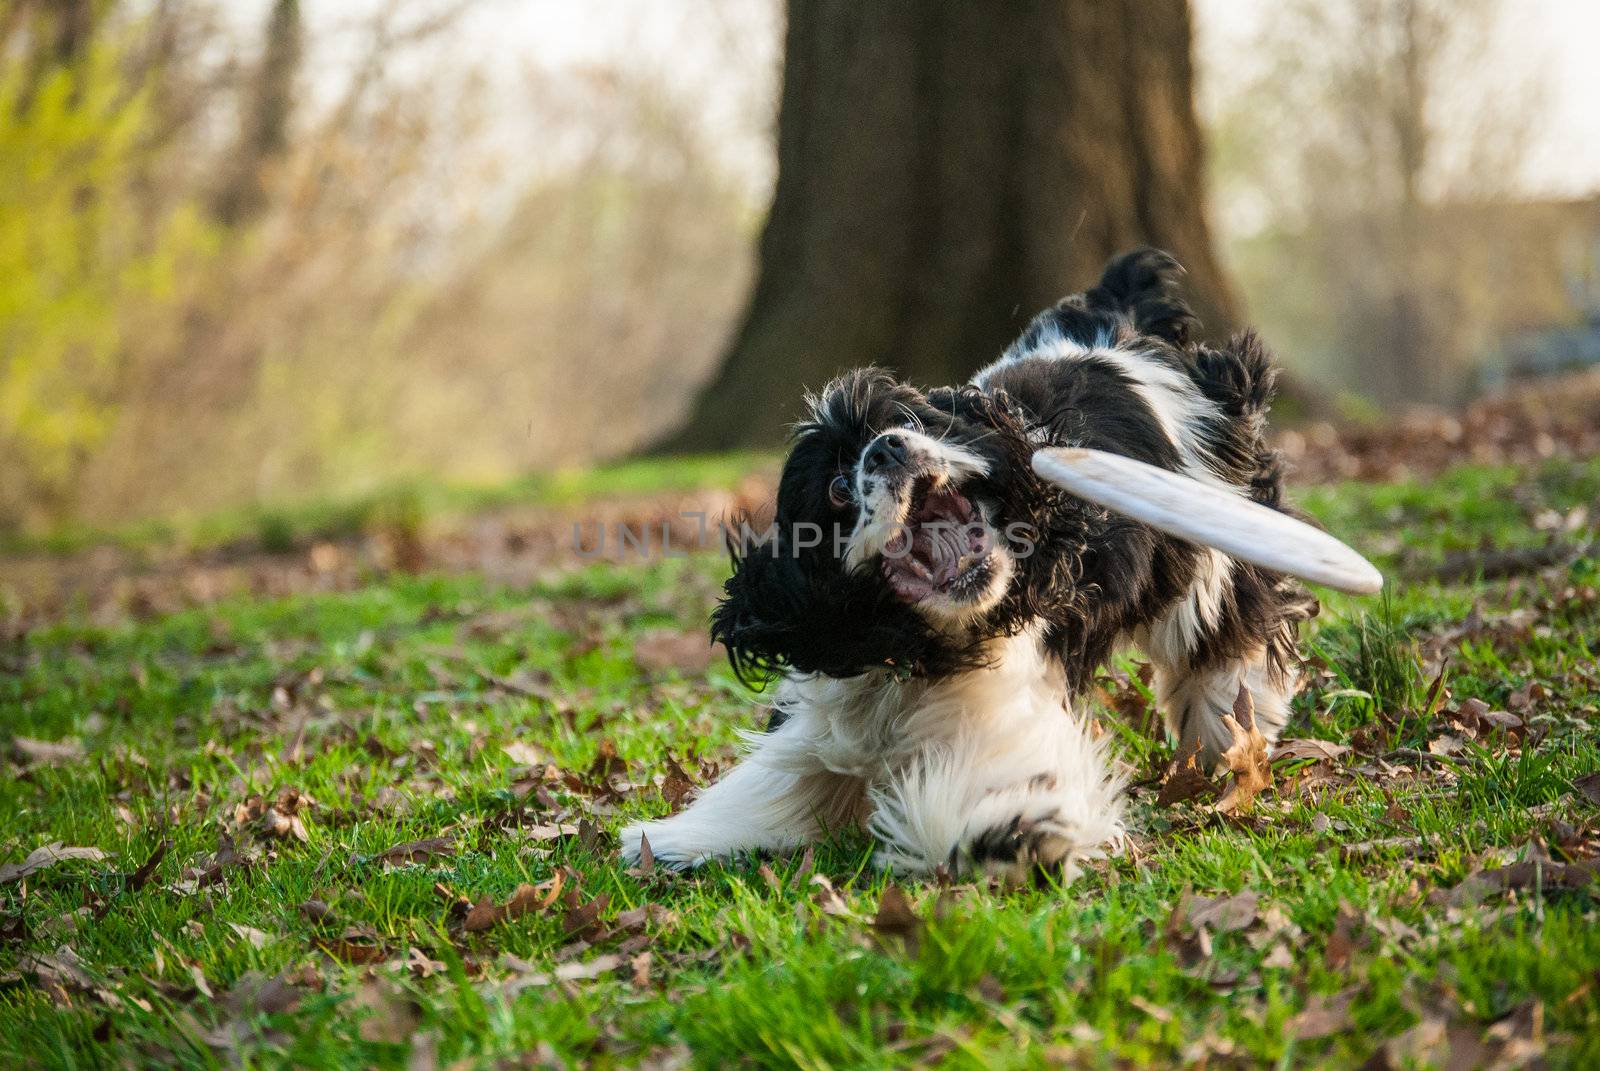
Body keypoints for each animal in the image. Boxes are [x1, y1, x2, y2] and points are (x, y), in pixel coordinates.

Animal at [624, 252, 1324, 883]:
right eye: (837, 489)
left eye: (907, 421)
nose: (888, 448)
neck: (913, 647)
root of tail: (1118, 327)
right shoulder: (828, 713)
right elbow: (777, 784)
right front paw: (673, 840)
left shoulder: (999, 709)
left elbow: (996, 788)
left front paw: (1013, 835)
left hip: (1216, 544)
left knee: (1225, 640)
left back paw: (1228, 737)